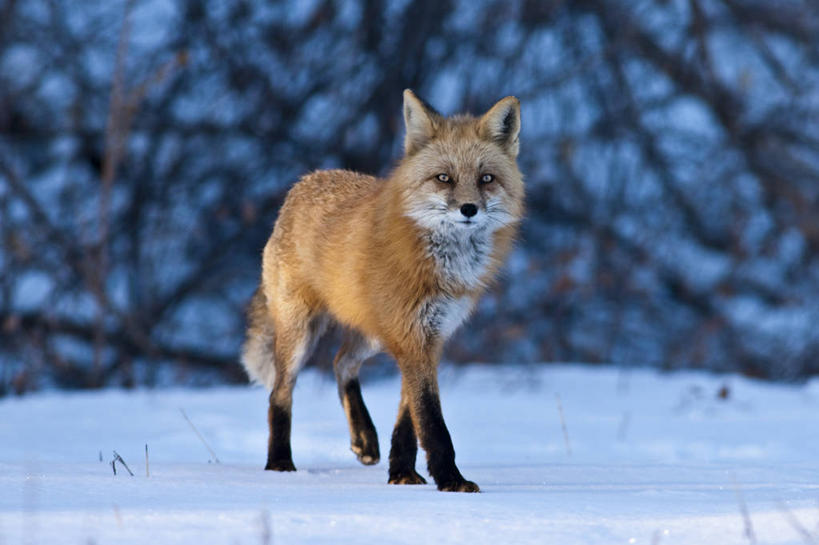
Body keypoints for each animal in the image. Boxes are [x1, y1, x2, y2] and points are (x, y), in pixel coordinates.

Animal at [242, 90, 524, 492]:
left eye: (486, 178)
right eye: (444, 178)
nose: (468, 209)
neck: (443, 265)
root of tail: (305, 181)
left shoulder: (428, 338)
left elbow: (409, 419)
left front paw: (402, 472)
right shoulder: (412, 337)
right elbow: (433, 424)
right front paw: (451, 480)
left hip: (372, 334)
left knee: (341, 362)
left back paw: (364, 438)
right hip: (300, 334)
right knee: (279, 393)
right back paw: (279, 462)